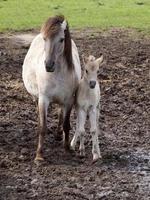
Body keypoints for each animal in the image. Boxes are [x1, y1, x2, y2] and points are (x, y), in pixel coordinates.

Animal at [22, 15, 81, 162]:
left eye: (61, 39)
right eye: (45, 39)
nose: (48, 65)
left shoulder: (68, 101)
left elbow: (66, 124)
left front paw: (67, 148)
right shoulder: (43, 99)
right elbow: (43, 127)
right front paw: (39, 156)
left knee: (60, 114)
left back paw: (59, 135)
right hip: (36, 98)